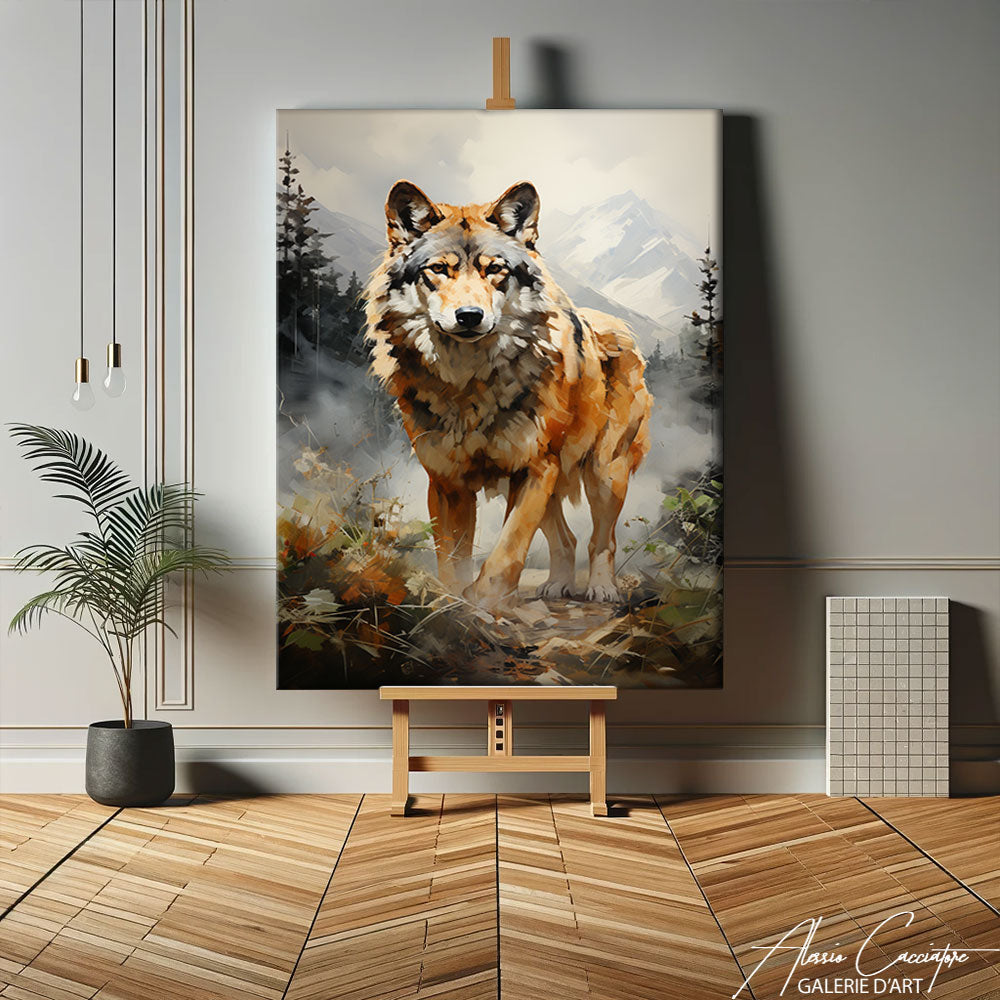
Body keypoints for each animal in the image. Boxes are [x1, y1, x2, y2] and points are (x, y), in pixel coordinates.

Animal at [364, 179, 652, 607]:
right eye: (439, 269)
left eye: (495, 270)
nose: (469, 316)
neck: (469, 384)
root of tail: (610, 323)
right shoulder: (447, 482)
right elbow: (452, 558)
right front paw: (455, 606)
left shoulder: (534, 469)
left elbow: (508, 549)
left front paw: (485, 603)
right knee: (566, 539)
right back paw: (557, 585)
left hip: (604, 473)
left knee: (602, 539)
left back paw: (602, 588)